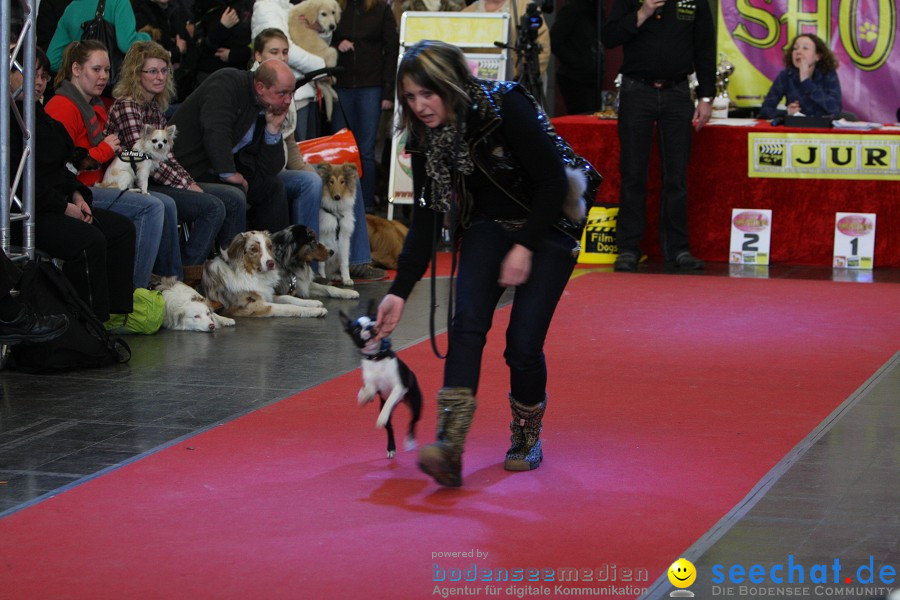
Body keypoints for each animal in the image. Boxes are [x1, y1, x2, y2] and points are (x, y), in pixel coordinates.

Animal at [340, 304, 424, 460]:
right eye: (356, 330)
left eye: (373, 319)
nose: (370, 327)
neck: (376, 357)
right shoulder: (372, 384)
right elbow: (368, 390)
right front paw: (363, 396)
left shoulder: (398, 387)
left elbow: (390, 399)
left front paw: (382, 416)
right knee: (390, 428)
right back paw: (391, 448)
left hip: (416, 403)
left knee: (413, 421)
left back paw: (410, 441)